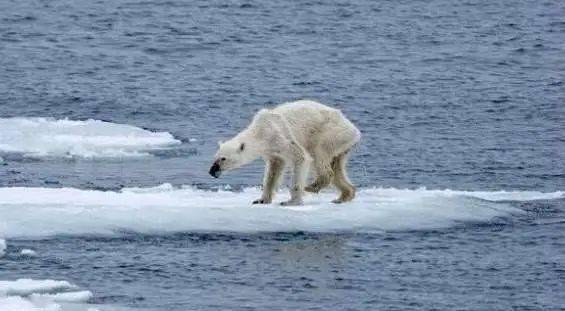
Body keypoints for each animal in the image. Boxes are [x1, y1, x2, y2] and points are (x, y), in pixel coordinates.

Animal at [208, 100, 362, 207]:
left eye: (223, 159)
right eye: (215, 157)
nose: (212, 171)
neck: (260, 131)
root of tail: (355, 130)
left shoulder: (280, 137)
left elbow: (301, 157)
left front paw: (291, 201)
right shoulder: (272, 150)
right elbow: (273, 170)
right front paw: (261, 200)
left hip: (330, 133)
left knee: (319, 154)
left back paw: (312, 186)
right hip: (342, 145)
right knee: (337, 167)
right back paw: (343, 196)